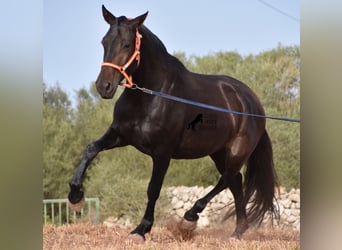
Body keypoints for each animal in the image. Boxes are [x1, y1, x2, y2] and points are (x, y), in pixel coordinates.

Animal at [68, 5, 280, 240]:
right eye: (104, 42)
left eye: (127, 44)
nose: (103, 86)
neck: (152, 95)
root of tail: (253, 102)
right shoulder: (119, 135)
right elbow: (91, 149)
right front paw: (75, 196)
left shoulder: (162, 152)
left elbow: (153, 188)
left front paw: (142, 229)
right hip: (218, 151)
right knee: (235, 181)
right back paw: (237, 231)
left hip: (237, 150)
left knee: (226, 179)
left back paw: (190, 218)